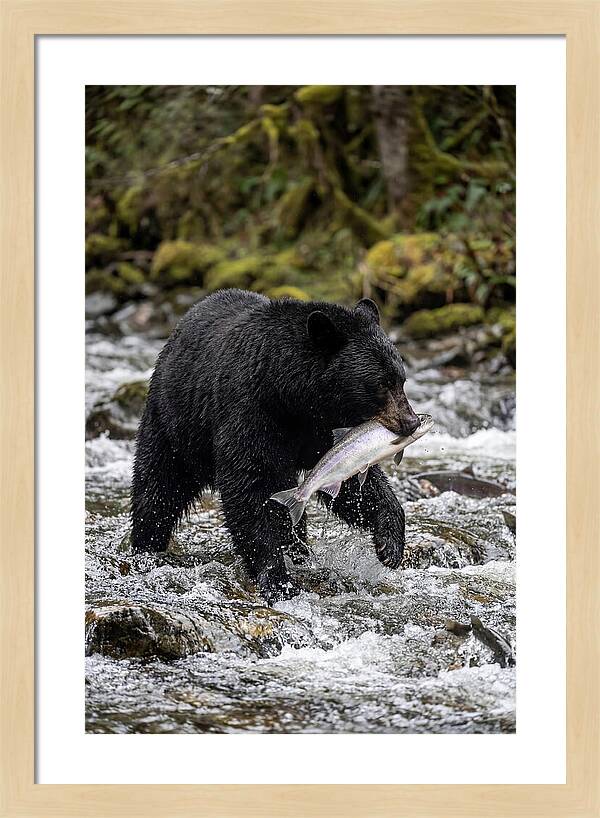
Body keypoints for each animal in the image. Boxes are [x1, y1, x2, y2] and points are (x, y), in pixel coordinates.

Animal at [131, 289, 420, 603]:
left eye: (401, 380)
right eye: (380, 384)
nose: (411, 422)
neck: (291, 396)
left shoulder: (323, 430)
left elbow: (350, 479)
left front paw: (390, 544)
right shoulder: (251, 411)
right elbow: (248, 486)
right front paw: (277, 579)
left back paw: (299, 551)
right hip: (175, 423)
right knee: (158, 486)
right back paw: (145, 547)